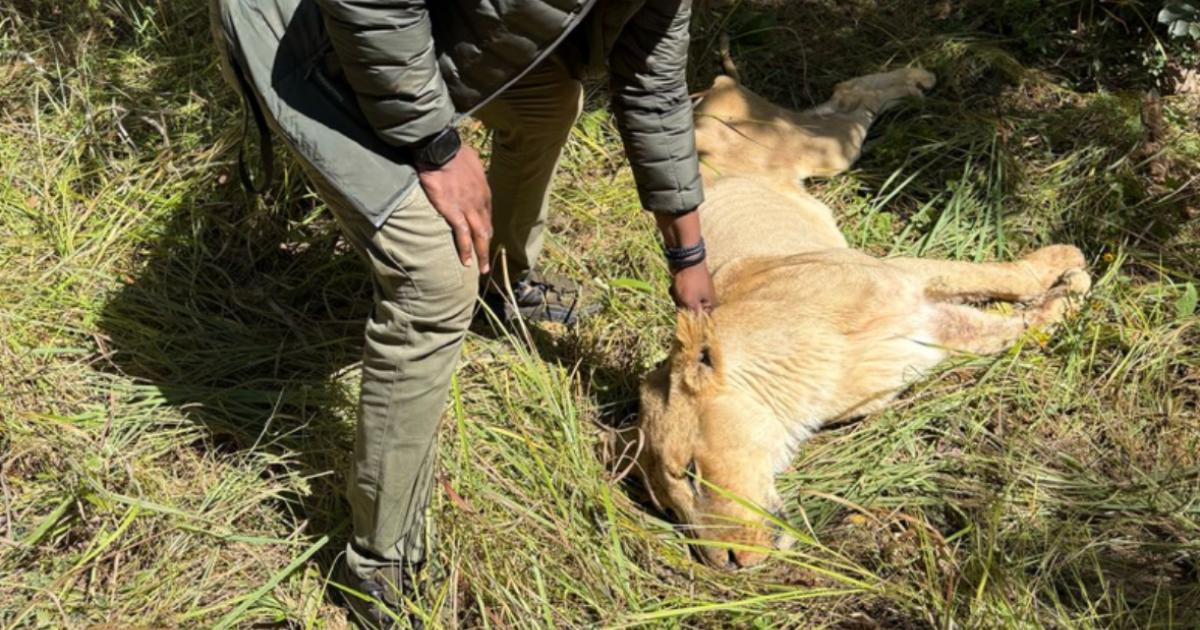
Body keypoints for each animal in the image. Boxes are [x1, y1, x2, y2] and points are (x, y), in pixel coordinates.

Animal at [629, 67, 1091, 570]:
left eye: (691, 472)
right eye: (670, 509)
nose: (727, 563)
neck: (798, 394)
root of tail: (703, 99)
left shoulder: (901, 274)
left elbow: (1005, 277)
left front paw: (1068, 263)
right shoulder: (929, 332)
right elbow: (1013, 328)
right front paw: (1067, 295)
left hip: (821, 149)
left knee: (846, 99)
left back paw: (916, 78)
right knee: (844, 102)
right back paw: (915, 83)